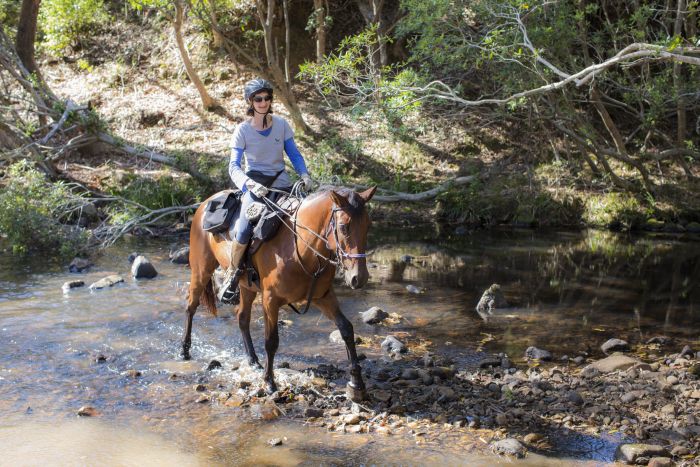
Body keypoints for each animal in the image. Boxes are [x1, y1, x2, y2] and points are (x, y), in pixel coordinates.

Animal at [183, 186, 374, 402]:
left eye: (368, 225)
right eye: (343, 227)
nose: (359, 278)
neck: (299, 249)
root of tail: (205, 203)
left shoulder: (323, 297)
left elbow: (346, 329)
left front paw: (357, 384)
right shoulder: (270, 301)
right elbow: (271, 341)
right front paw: (269, 383)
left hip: (247, 287)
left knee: (242, 318)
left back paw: (253, 360)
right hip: (201, 271)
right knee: (191, 307)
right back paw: (184, 350)